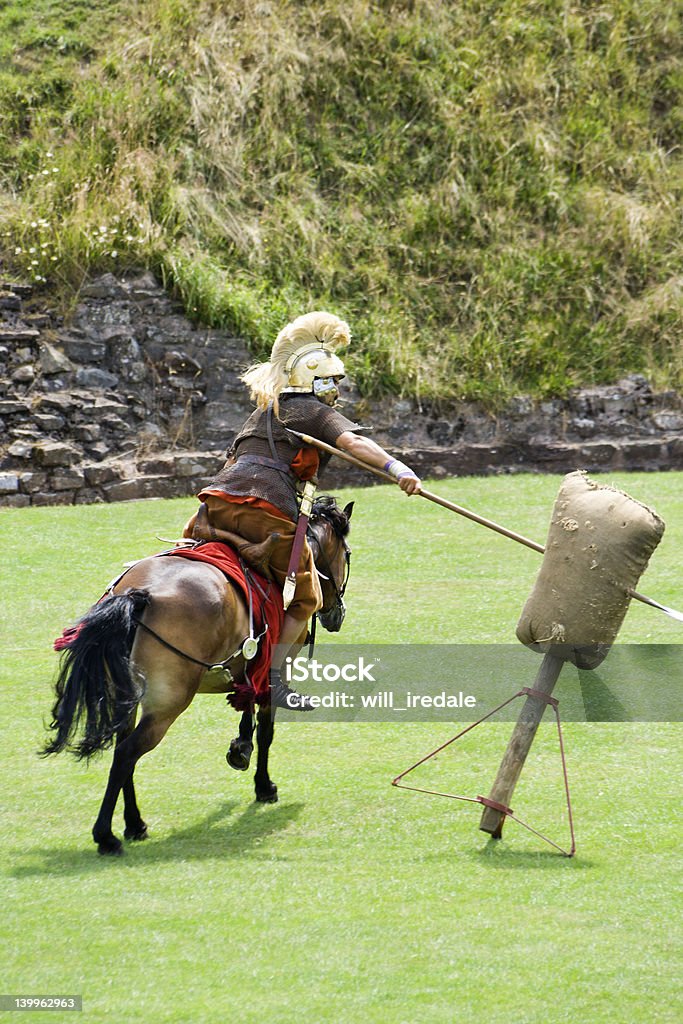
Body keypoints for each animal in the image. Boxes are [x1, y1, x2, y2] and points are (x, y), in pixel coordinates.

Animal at [44, 495, 352, 856]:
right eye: (346, 554)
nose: (337, 614)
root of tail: (138, 595)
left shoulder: (248, 668)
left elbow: (246, 704)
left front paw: (240, 749)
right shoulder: (275, 668)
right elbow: (266, 729)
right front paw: (264, 785)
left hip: (129, 697)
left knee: (124, 751)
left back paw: (134, 824)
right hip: (168, 704)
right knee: (126, 753)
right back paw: (107, 836)